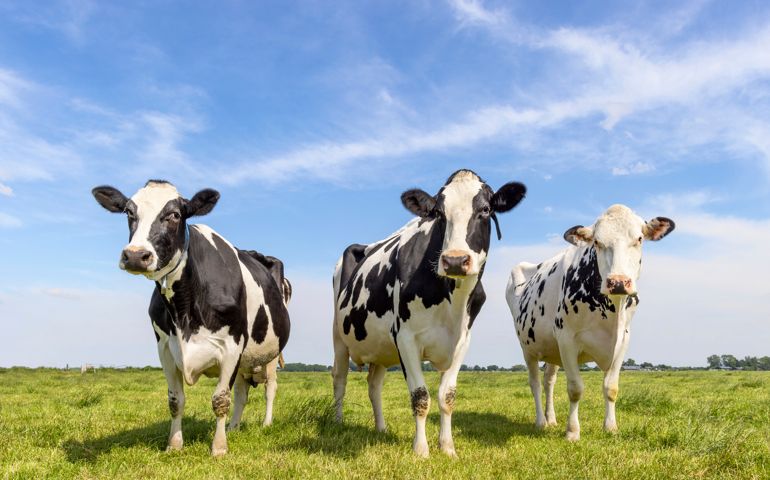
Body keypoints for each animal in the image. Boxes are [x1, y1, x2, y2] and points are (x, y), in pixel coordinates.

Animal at [92, 180, 291, 456]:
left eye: (175, 215)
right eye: (129, 212)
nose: (135, 255)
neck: (184, 308)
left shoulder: (232, 345)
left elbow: (220, 400)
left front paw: (218, 449)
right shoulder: (165, 347)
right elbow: (176, 400)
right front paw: (174, 445)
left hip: (270, 354)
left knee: (270, 388)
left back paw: (266, 423)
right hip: (245, 360)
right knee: (241, 393)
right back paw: (234, 427)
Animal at [332, 169, 526, 457]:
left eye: (485, 209)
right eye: (439, 214)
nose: (455, 260)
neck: (451, 301)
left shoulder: (462, 340)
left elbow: (447, 396)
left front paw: (447, 447)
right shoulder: (405, 338)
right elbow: (420, 396)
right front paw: (421, 451)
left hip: (380, 348)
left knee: (374, 385)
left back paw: (381, 428)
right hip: (338, 336)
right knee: (339, 379)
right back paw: (336, 422)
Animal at [505, 204, 674, 441]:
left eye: (639, 239)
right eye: (597, 242)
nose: (618, 282)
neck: (611, 312)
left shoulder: (623, 340)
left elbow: (611, 388)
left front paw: (611, 427)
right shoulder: (566, 339)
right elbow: (575, 388)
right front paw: (572, 432)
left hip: (552, 349)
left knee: (549, 381)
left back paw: (551, 419)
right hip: (528, 347)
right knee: (535, 384)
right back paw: (540, 422)